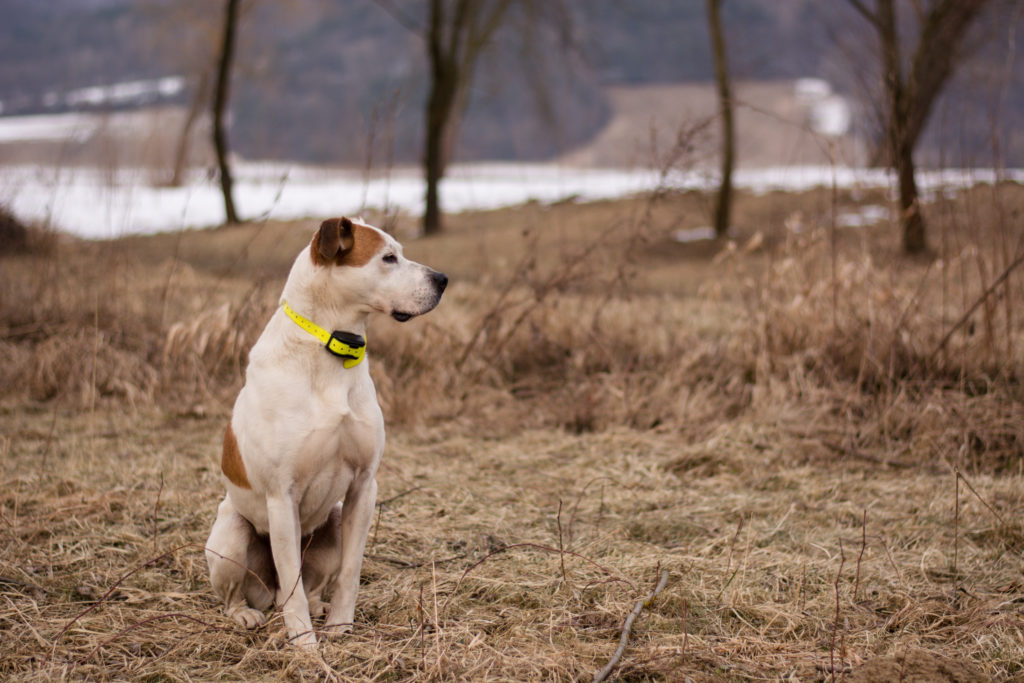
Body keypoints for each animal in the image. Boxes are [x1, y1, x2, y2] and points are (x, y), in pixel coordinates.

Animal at [205, 218, 446, 647]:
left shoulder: (364, 487)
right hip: (231, 535)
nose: (443, 280)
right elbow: (292, 583)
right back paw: (246, 614)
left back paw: (320, 606)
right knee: (249, 592)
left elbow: (349, 572)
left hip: (331, 524)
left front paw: (340, 626)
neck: (331, 348)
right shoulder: (281, 498)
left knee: (311, 584)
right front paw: (304, 644)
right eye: (388, 257)